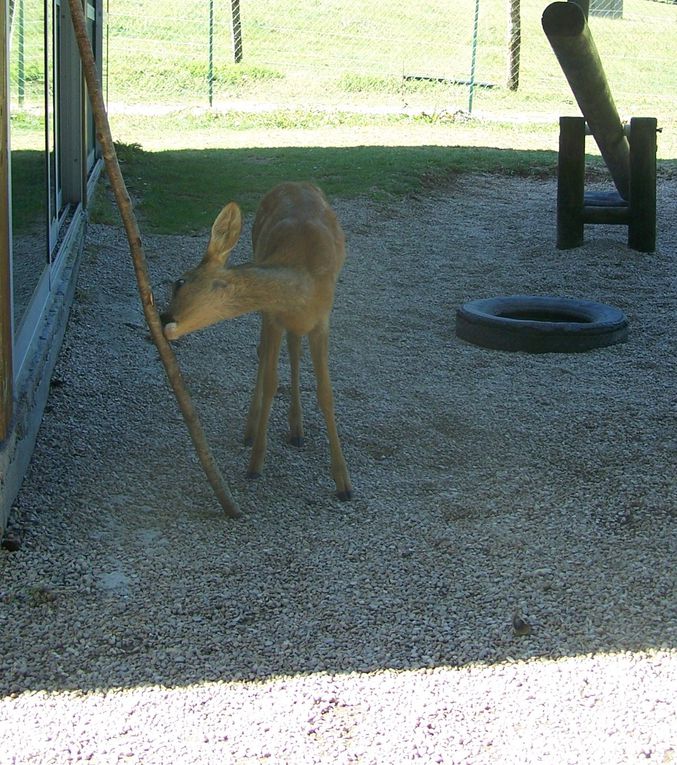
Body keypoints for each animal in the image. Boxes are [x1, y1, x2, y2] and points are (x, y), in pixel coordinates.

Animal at [160, 180, 352, 502]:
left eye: (179, 282)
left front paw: (343, 483)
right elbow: (272, 381)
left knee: (294, 347)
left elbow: (326, 392)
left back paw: (296, 430)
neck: (303, 283)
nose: (162, 319)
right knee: (266, 352)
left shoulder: (322, 319)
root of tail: (293, 183)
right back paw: (252, 431)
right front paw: (255, 465)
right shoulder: (273, 316)